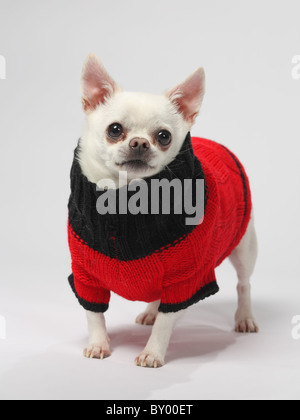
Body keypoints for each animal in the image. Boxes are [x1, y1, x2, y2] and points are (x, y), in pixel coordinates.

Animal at [68, 53, 258, 368]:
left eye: (164, 136)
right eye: (115, 130)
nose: (139, 143)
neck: (125, 201)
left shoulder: (186, 281)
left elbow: (165, 322)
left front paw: (152, 352)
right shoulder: (86, 277)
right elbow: (94, 314)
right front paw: (98, 343)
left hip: (244, 247)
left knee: (244, 284)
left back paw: (244, 317)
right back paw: (149, 310)